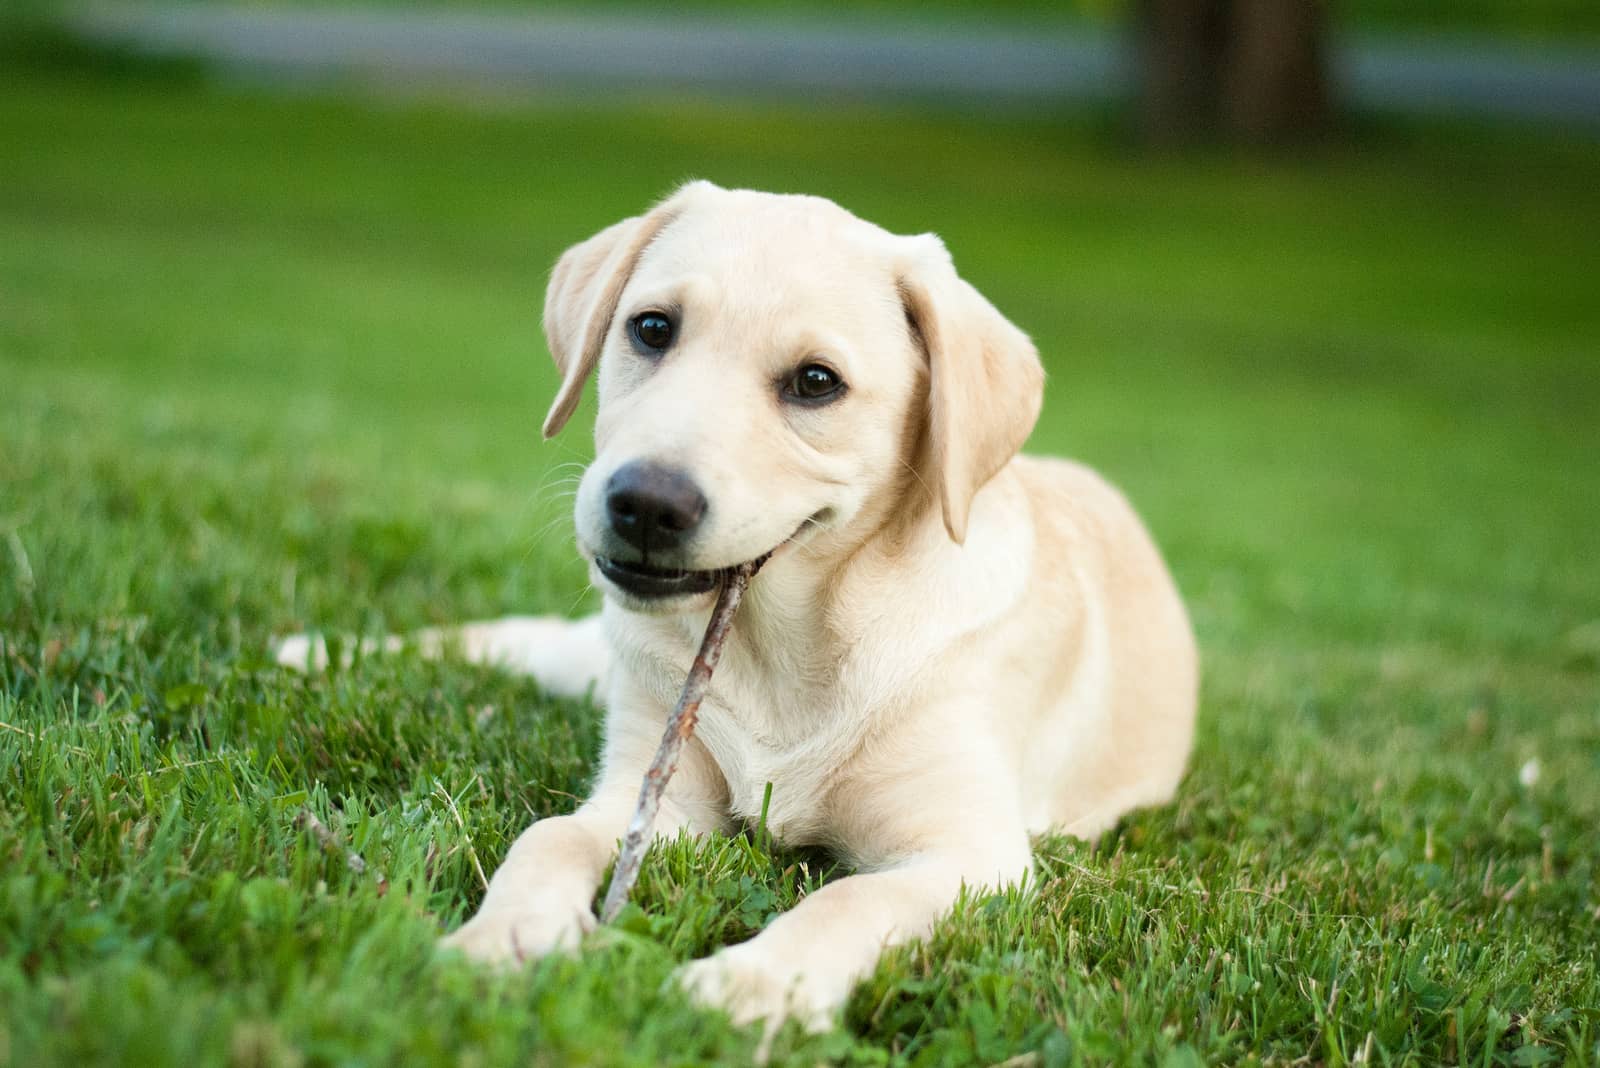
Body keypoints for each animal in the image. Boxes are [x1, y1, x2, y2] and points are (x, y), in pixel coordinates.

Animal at [281, 179, 1196, 1029]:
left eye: (816, 383)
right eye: (652, 329)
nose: (646, 505)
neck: (782, 641)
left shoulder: (969, 854)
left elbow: (849, 899)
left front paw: (752, 986)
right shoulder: (652, 794)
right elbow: (549, 835)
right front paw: (503, 934)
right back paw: (312, 653)